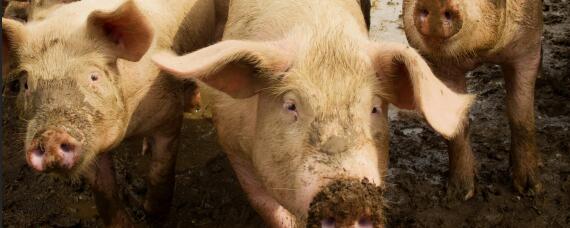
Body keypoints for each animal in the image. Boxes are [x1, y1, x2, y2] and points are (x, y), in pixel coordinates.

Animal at [1, 0, 222, 225]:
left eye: (94, 76)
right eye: (26, 84)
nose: (50, 136)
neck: (128, 130)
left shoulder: (168, 117)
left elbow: (161, 173)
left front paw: (152, 217)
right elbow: (104, 192)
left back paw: (192, 105)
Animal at [150, 0, 470, 226]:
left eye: (374, 108)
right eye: (291, 105)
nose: (350, 196)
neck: (322, 38)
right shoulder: (233, 144)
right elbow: (270, 209)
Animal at [400, 0, 540, 198]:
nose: (435, 3)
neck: (479, 53)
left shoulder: (529, 46)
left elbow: (521, 116)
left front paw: (530, 189)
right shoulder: (441, 65)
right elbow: (455, 122)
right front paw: (460, 194)